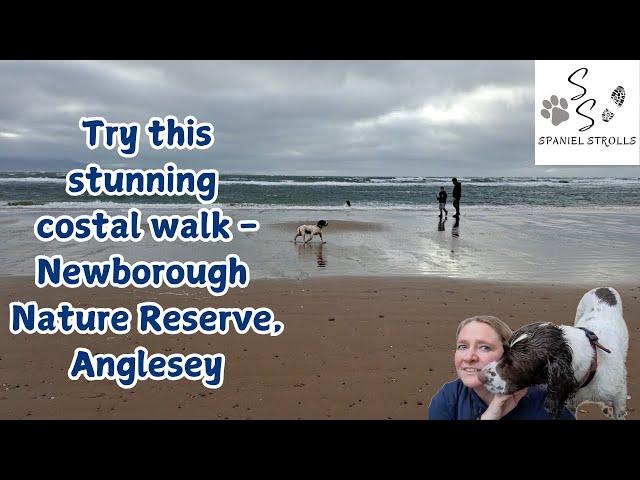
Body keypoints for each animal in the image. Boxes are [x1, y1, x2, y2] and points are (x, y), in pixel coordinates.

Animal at [478, 286, 628, 418]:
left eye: (513, 363)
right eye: (503, 352)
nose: (480, 376)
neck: (592, 367)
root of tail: (604, 288)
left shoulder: (619, 399)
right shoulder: (570, 405)